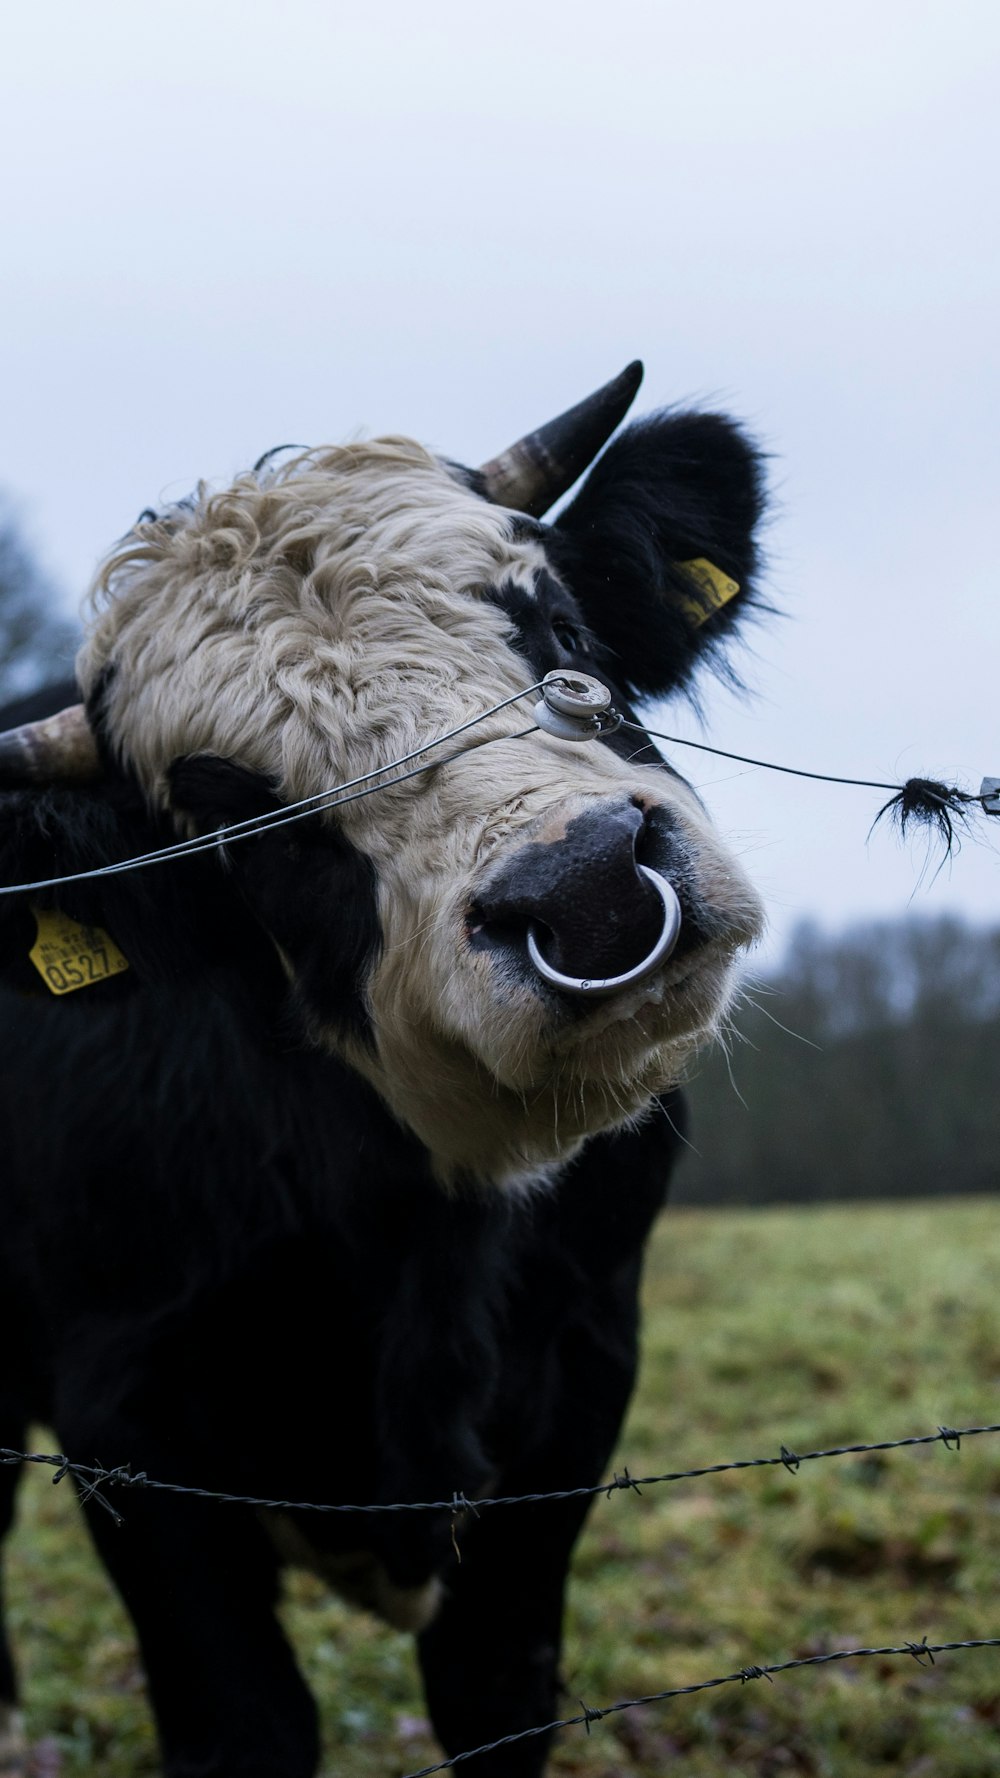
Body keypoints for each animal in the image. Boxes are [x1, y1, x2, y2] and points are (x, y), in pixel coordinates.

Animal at [0, 364, 761, 1778]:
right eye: (245, 823)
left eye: (561, 623)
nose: (584, 892)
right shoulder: (123, 1412)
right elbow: (244, 1720)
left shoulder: (583, 1361)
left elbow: (495, 1686)